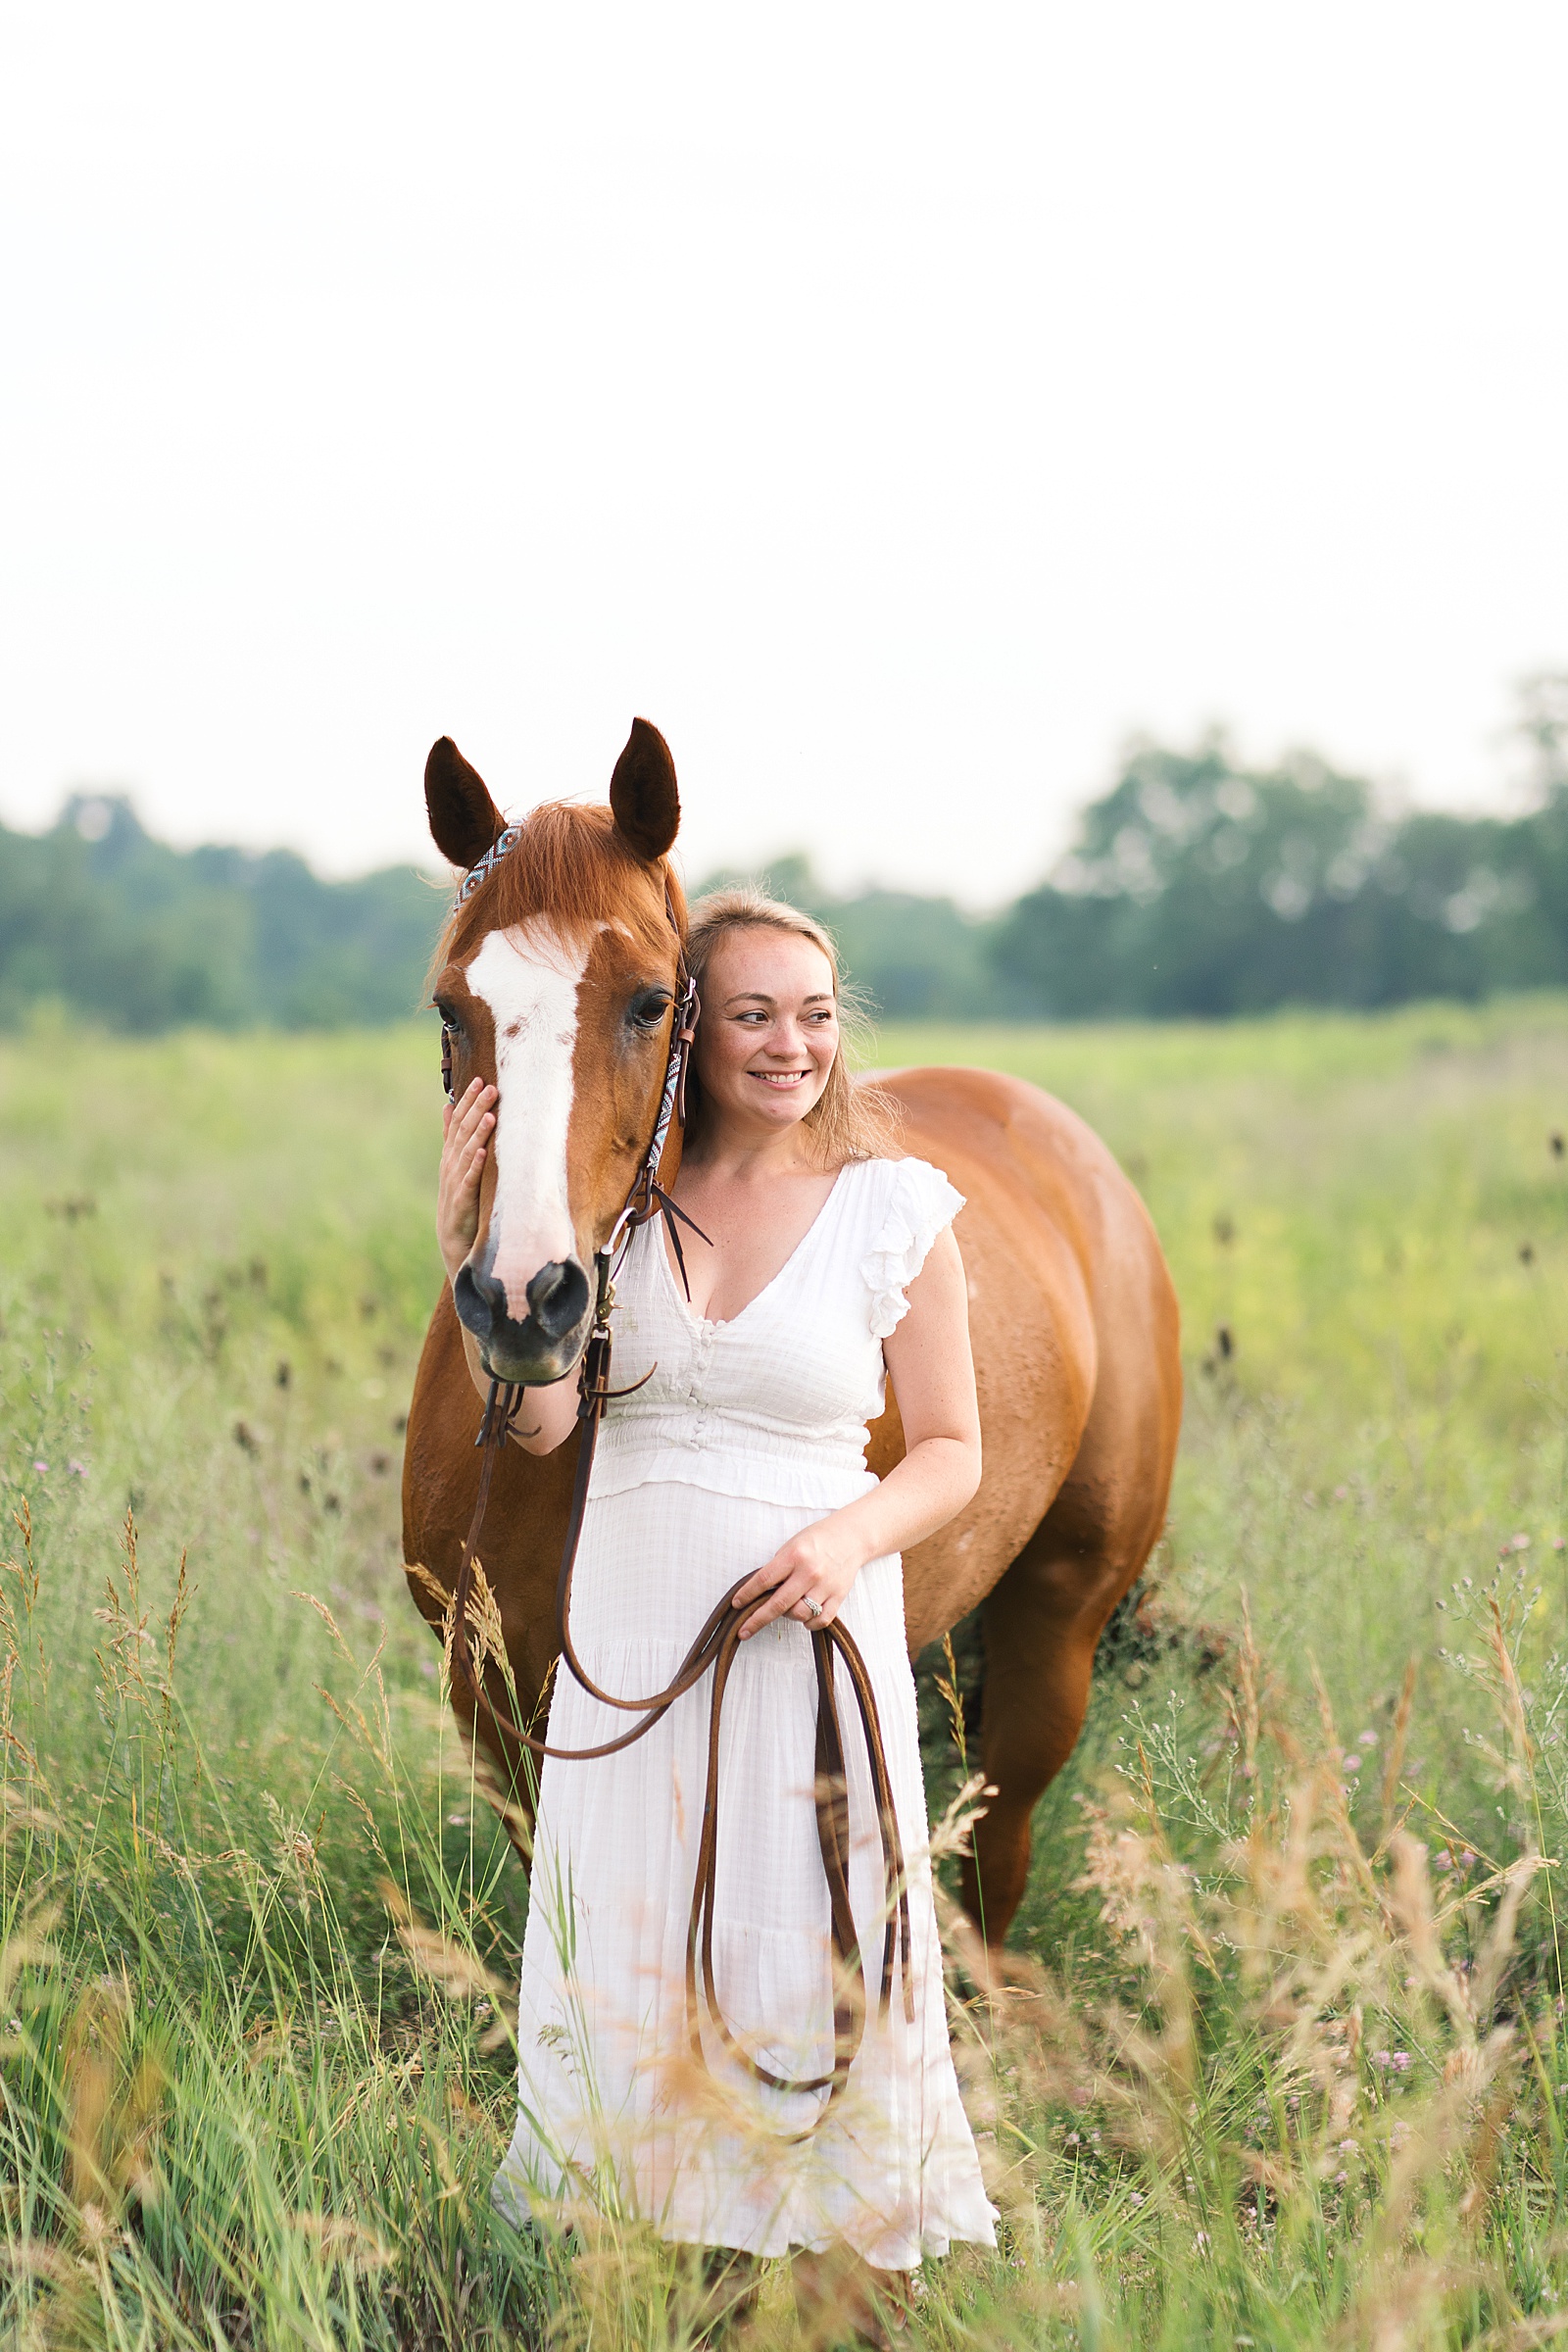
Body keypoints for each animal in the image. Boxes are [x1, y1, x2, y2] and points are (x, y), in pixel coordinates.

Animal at [401, 720, 1182, 1946]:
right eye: (450, 1009)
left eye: (651, 1001)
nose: (527, 1299)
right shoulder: (498, 1713)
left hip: (1053, 1633)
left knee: (992, 1854)